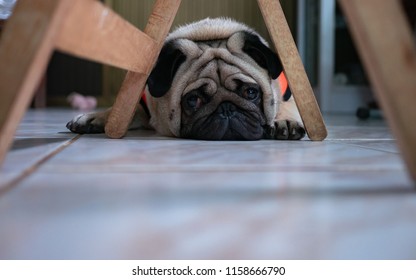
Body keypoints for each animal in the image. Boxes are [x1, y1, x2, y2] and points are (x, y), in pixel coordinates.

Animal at [67, 18, 306, 140]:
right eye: (193, 100)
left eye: (250, 92)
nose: (227, 109)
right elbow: (125, 112)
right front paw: (96, 118)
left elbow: (286, 105)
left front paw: (283, 120)